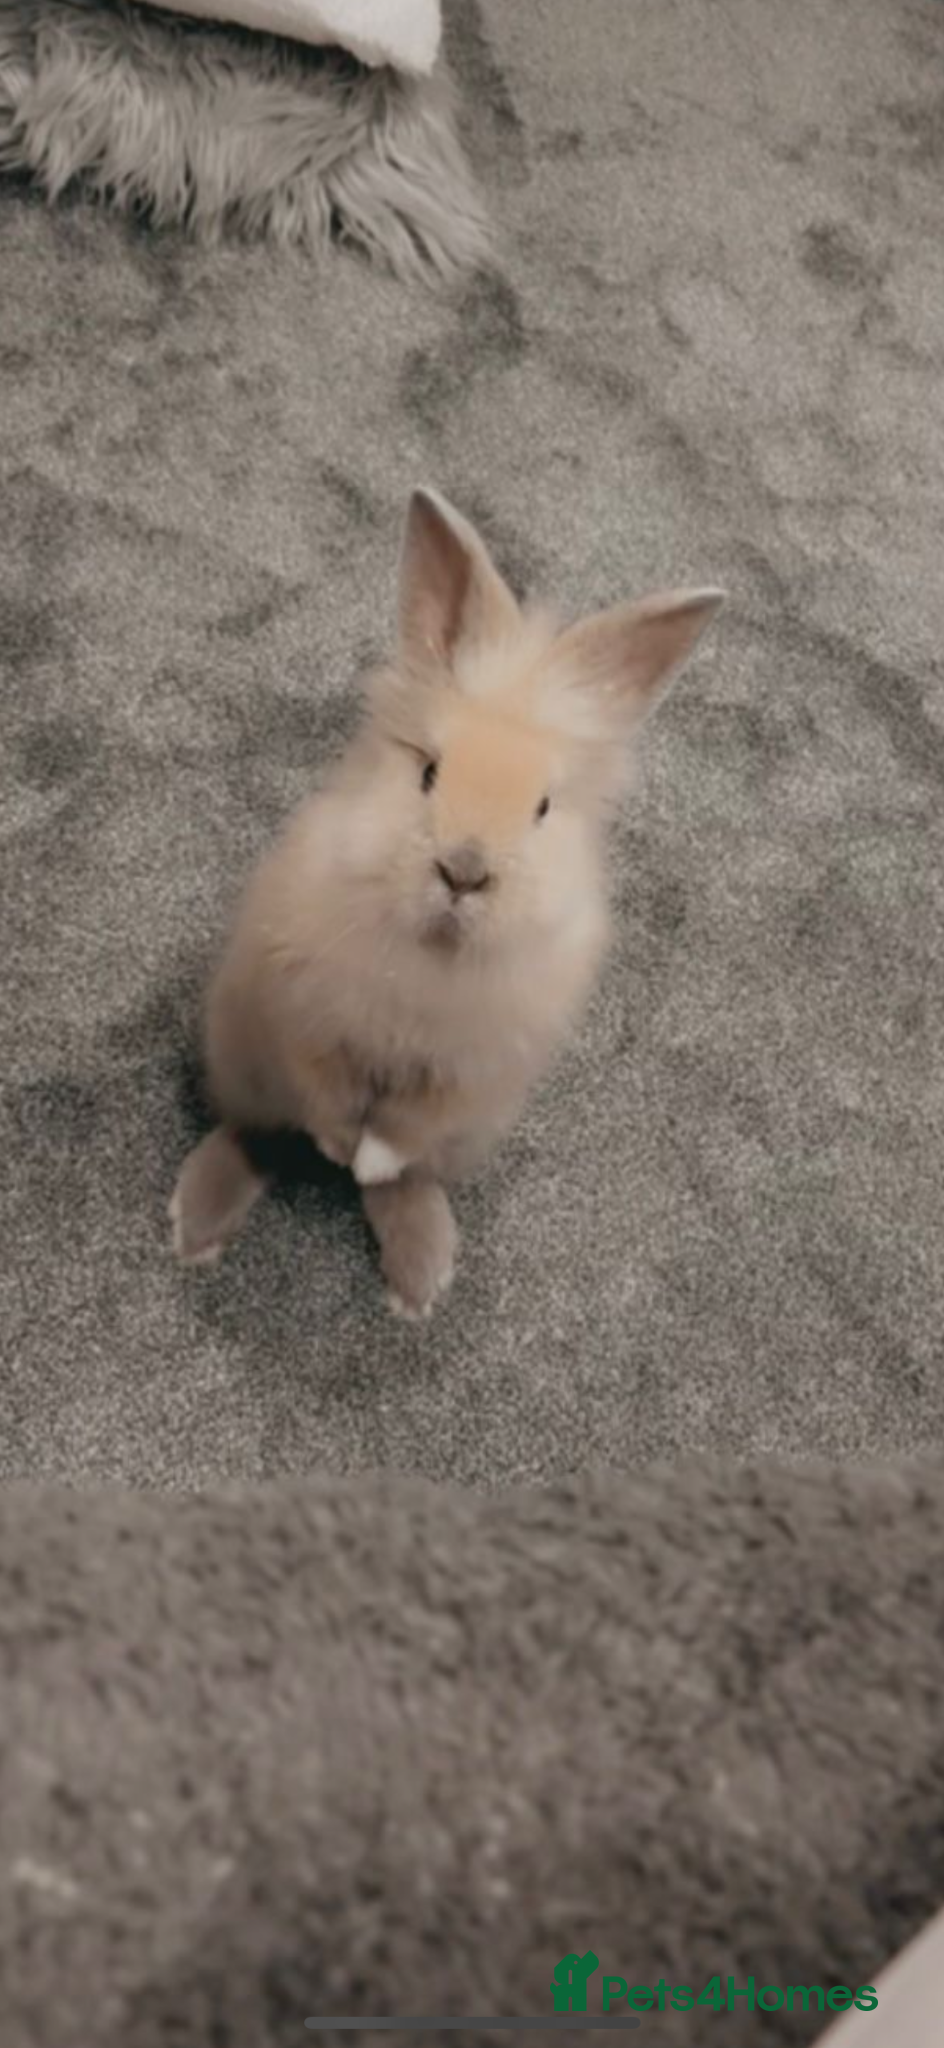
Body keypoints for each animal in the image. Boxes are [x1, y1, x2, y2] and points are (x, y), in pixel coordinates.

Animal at [170, 487, 723, 1317]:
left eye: (543, 807)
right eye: (429, 771)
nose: (463, 872)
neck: (434, 953)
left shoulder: (466, 1075)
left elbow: (401, 1134)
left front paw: (366, 1164)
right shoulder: (304, 1018)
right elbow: (325, 1096)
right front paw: (341, 1148)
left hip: (476, 1128)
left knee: (412, 1176)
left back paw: (420, 1279)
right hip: (239, 1049)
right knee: (258, 1131)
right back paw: (196, 1224)